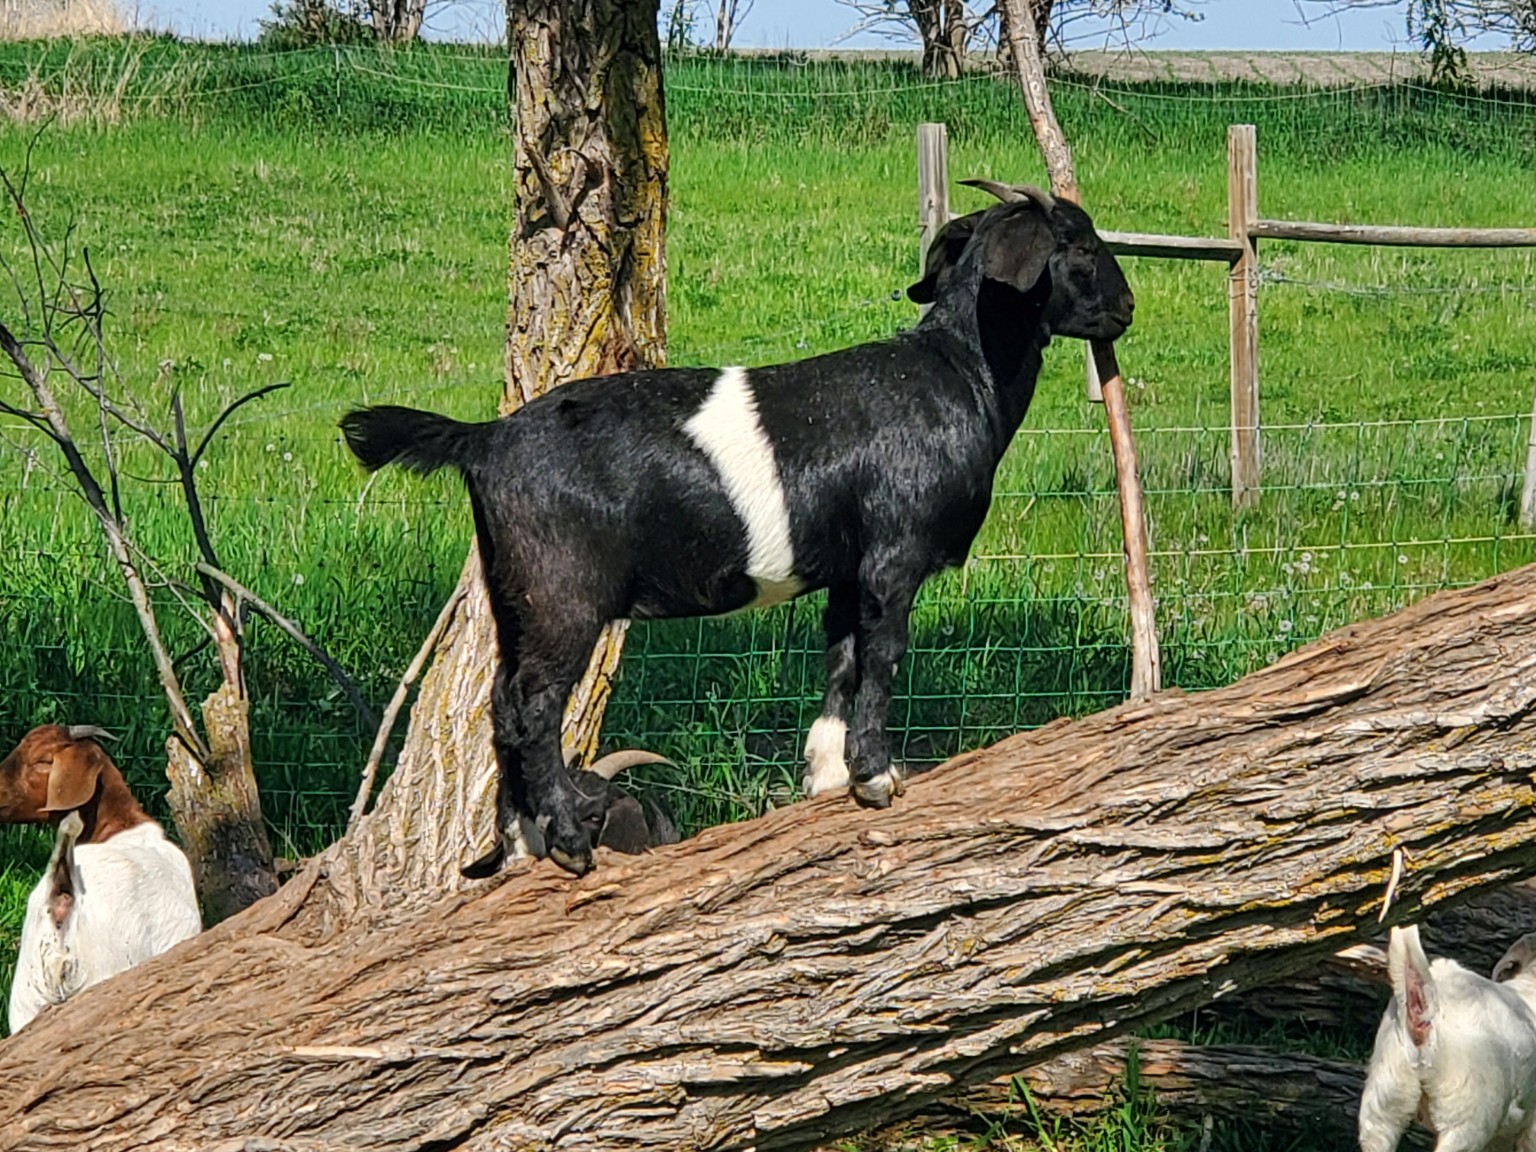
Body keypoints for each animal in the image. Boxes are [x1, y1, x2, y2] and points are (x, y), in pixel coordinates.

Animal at [340, 183, 1134, 878]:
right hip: (561, 594)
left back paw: (519, 841)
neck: (958, 373)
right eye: (1079, 244)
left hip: (512, 594)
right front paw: (877, 777)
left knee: (498, 701)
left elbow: (841, 658)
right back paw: (565, 840)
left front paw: (825, 773)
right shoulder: (893, 555)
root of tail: (482, 440)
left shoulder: (847, 567)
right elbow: (882, 657)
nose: (1127, 308)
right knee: (529, 707)